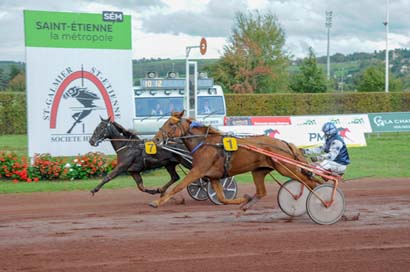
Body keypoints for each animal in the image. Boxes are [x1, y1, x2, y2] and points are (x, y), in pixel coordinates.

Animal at [151, 110, 318, 210]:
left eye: (171, 123)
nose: (156, 139)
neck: (205, 143)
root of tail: (284, 143)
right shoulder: (213, 176)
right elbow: (222, 198)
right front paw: (243, 199)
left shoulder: (197, 170)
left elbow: (178, 187)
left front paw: (156, 202)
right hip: (259, 171)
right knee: (263, 191)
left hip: (286, 168)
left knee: (309, 182)